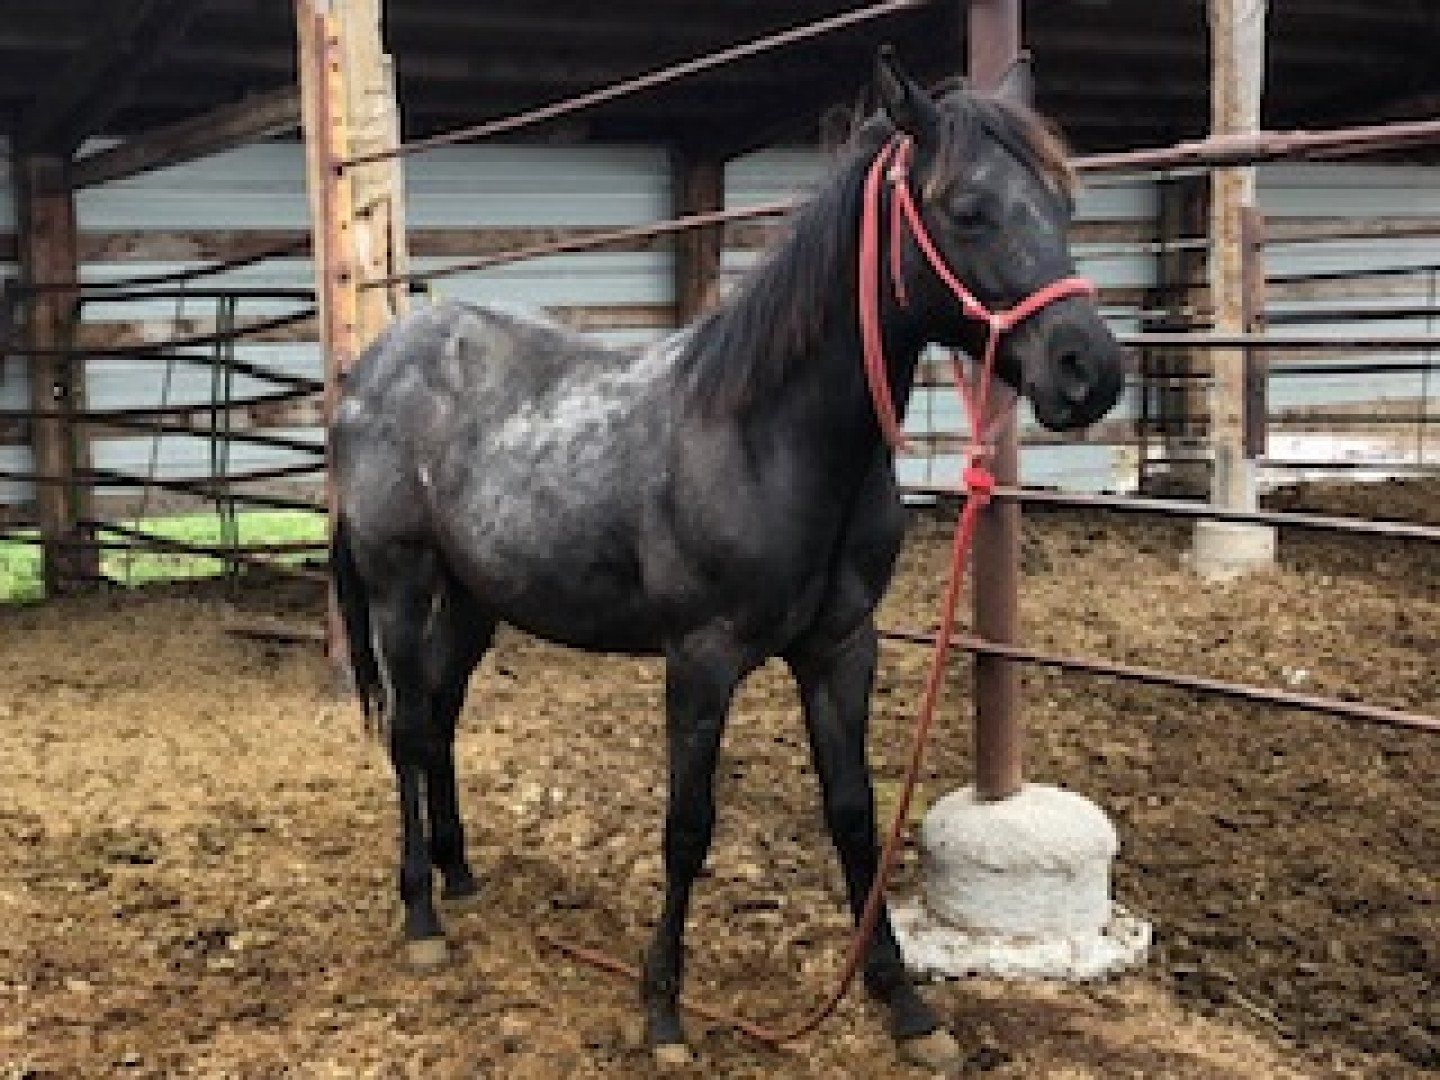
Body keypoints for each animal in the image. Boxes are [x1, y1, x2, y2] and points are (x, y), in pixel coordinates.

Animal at [329, 51, 1126, 1071]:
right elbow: (687, 827)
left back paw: (459, 872)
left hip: (476, 598)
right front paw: (664, 1010)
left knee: (439, 717)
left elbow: (856, 814)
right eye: (968, 209)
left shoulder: (840, 649)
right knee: (406, 729)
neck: (769, 437)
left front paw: (904, 1006)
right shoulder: (700, 659)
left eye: (1064, 205)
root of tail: (375, 366)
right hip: (400, 581)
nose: (1088, 371)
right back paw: (424, 916)